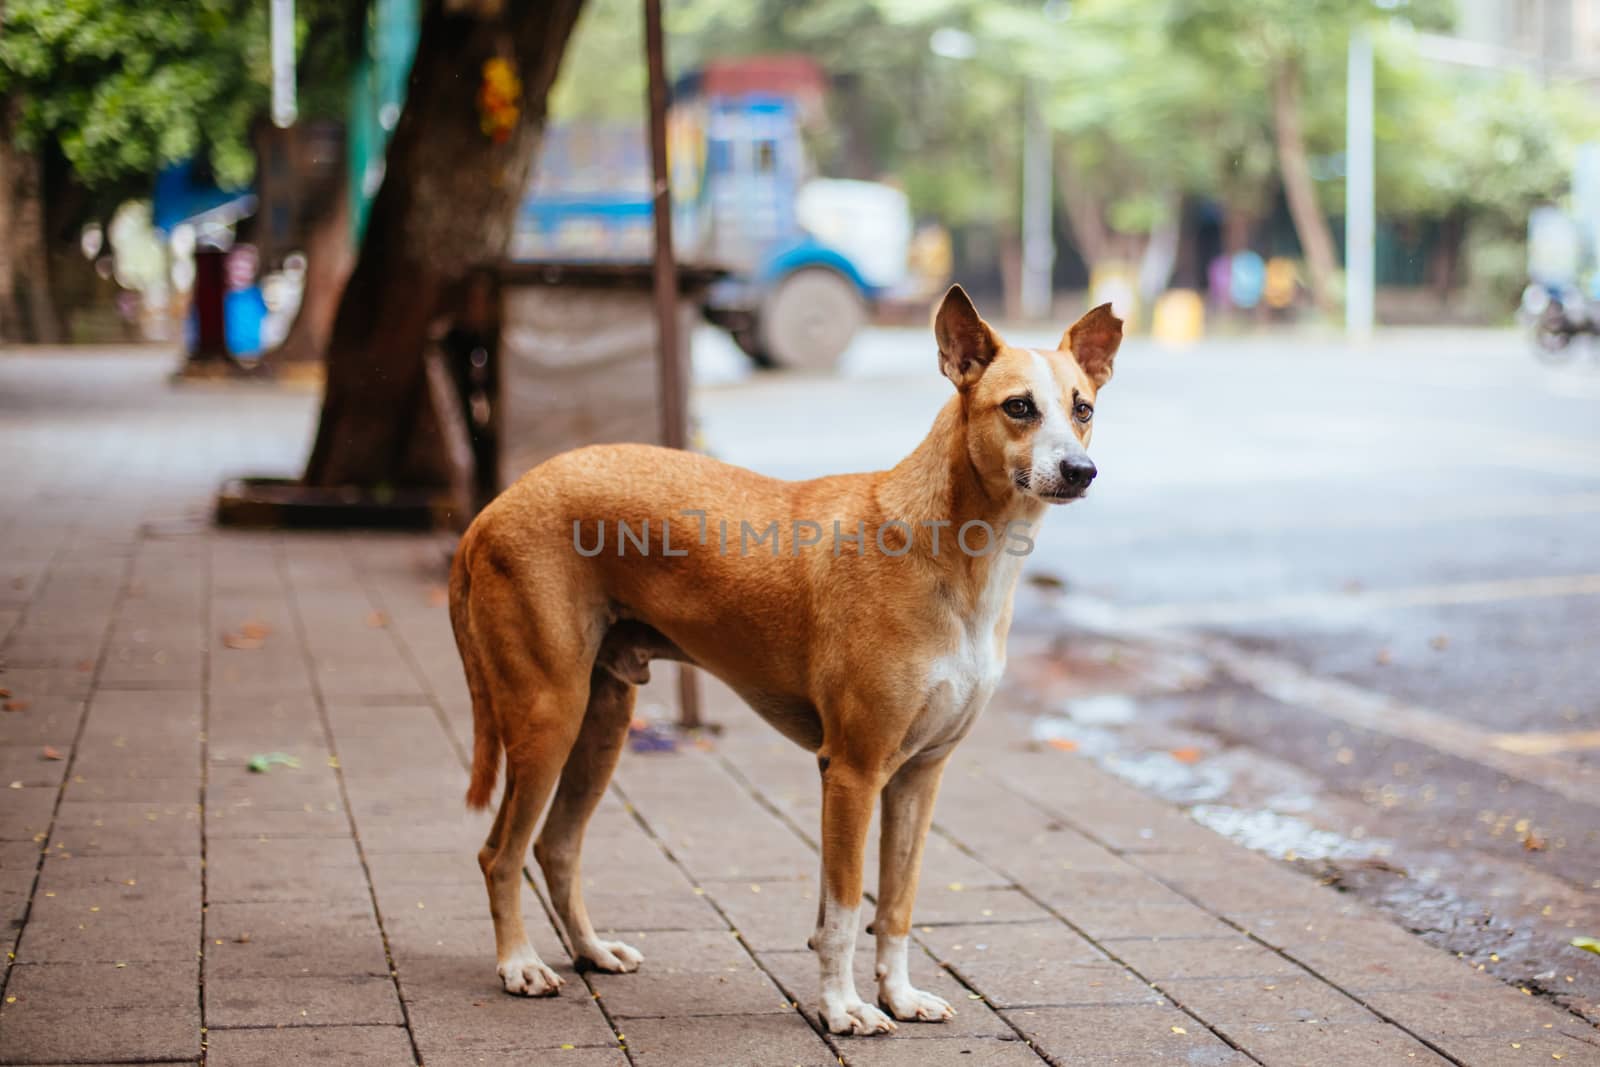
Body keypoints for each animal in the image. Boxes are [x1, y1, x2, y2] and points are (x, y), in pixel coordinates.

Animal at [451, 283, 1126, 1036]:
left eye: (1083, 408)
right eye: (1018, 407)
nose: (1080, 471)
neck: (955, 553)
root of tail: (495, 507)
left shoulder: (919, 775)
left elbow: (894, 905)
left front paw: (899, 995)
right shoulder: (853, 770)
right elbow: (844, 912)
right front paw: (843, 1007)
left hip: (602, 721)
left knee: (556, 846)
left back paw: (592, 951)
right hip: (548, 715)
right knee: (500, 852)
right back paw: (518, 964)